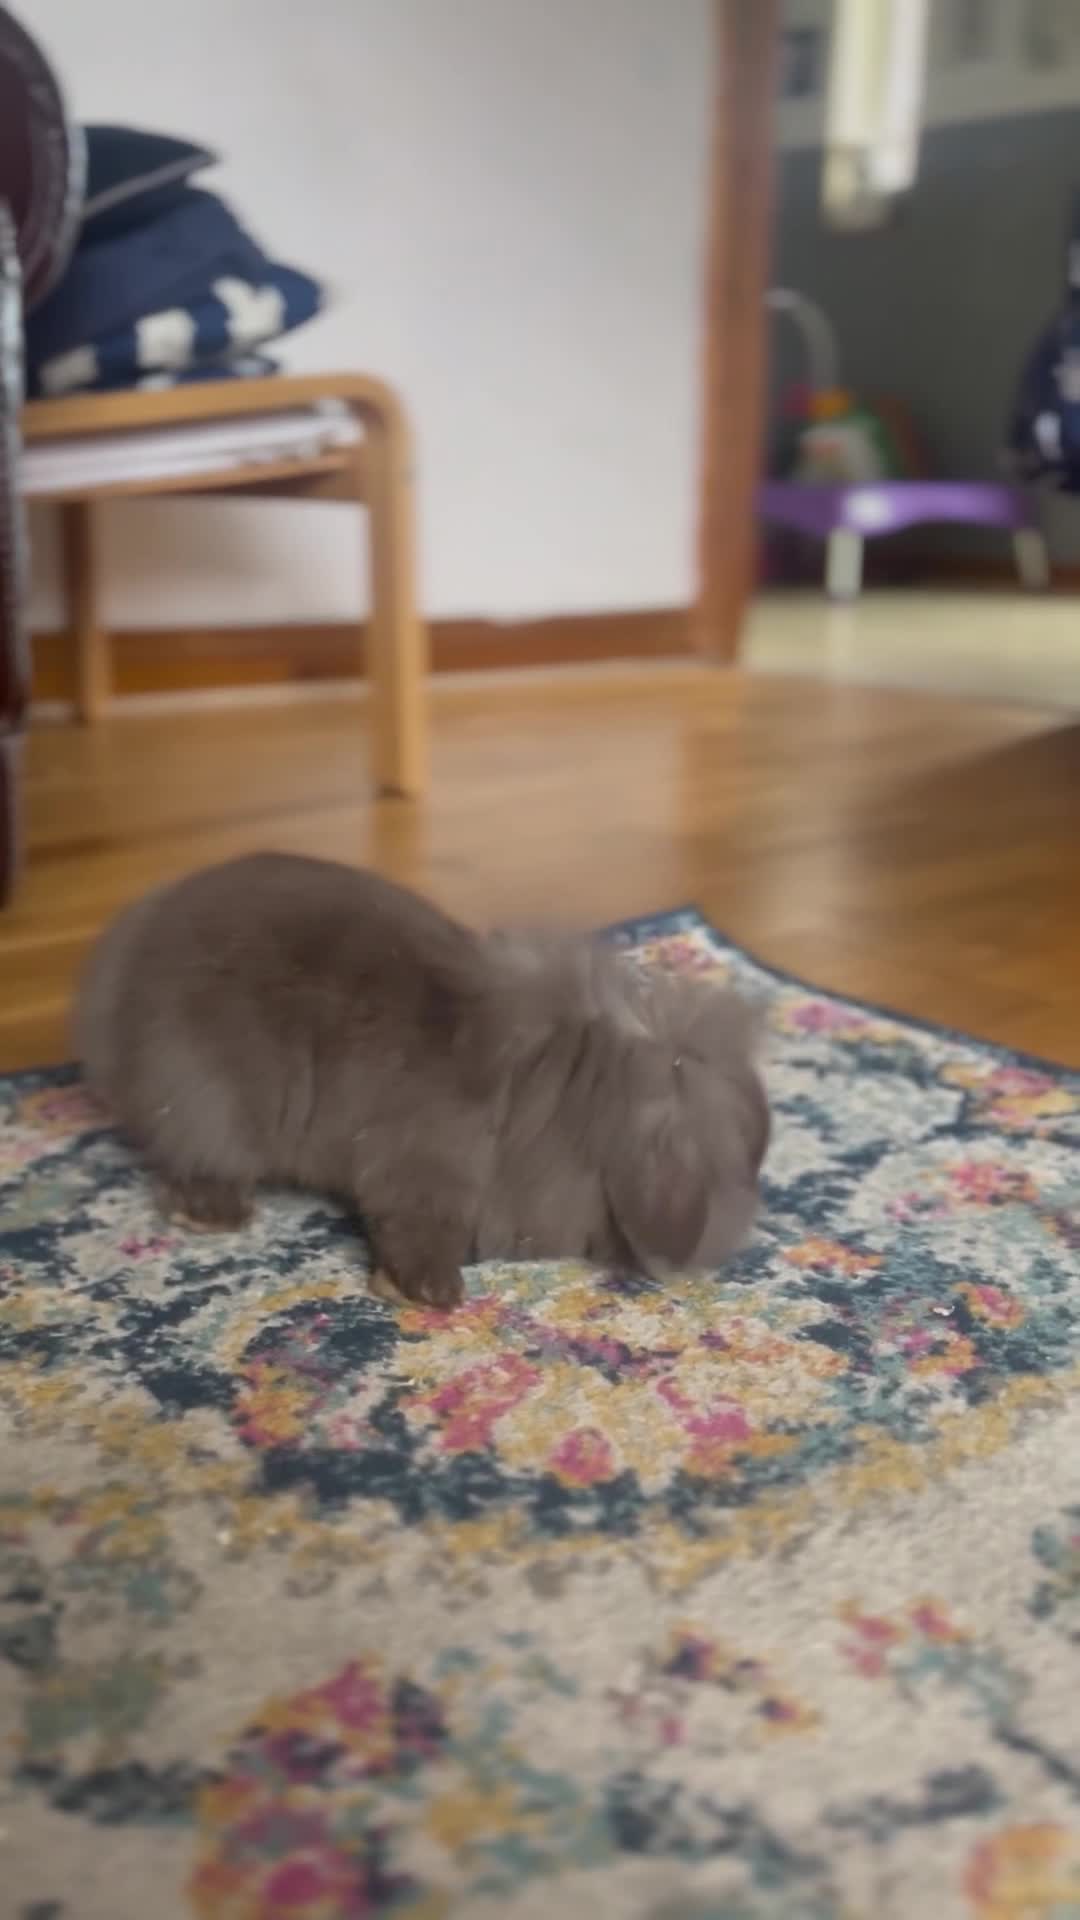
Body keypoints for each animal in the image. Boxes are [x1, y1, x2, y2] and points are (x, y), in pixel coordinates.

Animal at [74, 852, 769, 1307]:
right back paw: (213, 1215)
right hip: (209, 1098)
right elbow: (417, 1224)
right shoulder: (424, 1168)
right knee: (192, 1157)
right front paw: (431, 1294)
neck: (576, 1101)